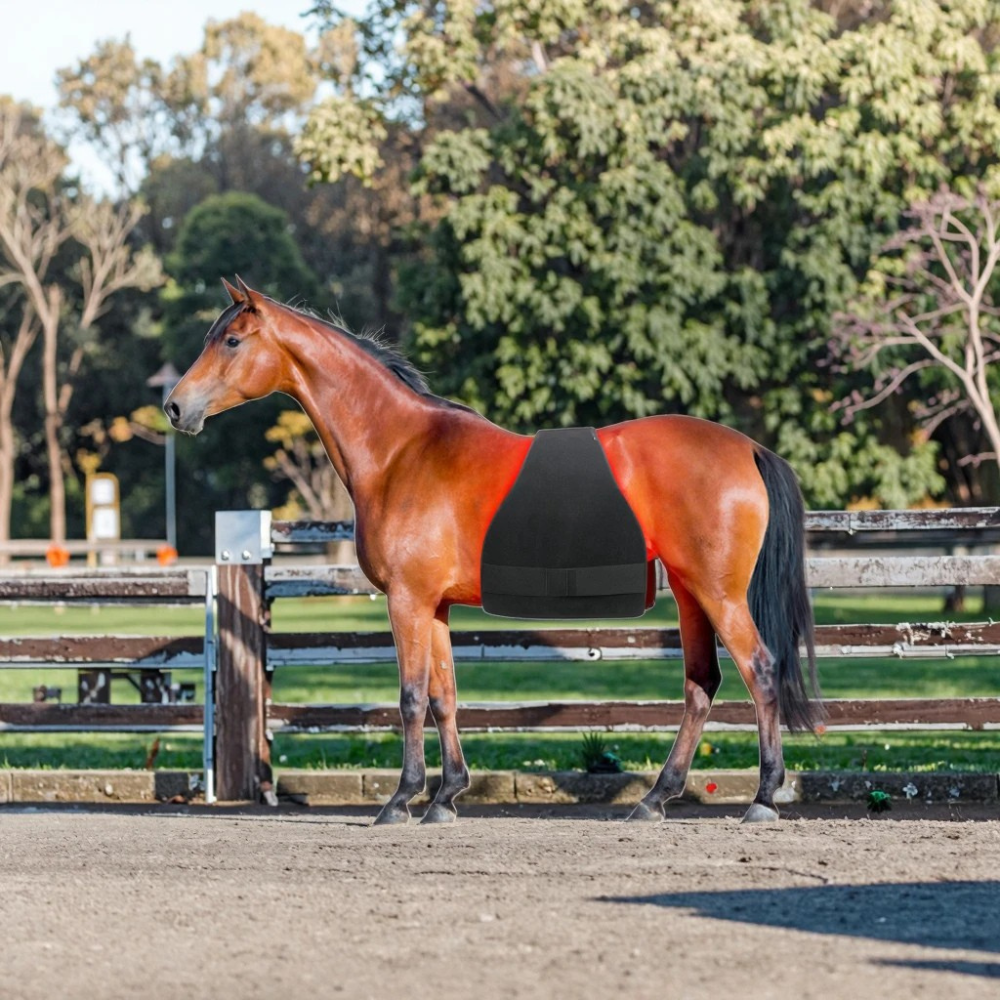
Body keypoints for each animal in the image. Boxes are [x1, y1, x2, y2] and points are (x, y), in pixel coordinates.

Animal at [165, 277, 821, 826]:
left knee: (760, 671)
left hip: (719, 595)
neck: (402, 449)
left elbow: (410, 698)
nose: (175, 406)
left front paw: (401, 800)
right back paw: (656, 799)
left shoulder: (407, 602)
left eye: (231, 340)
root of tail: (747, 448)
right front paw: (446, 797)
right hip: (690, 594)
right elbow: (444, 698)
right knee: (701, 685)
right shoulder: (433, 606)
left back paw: (763, 798)